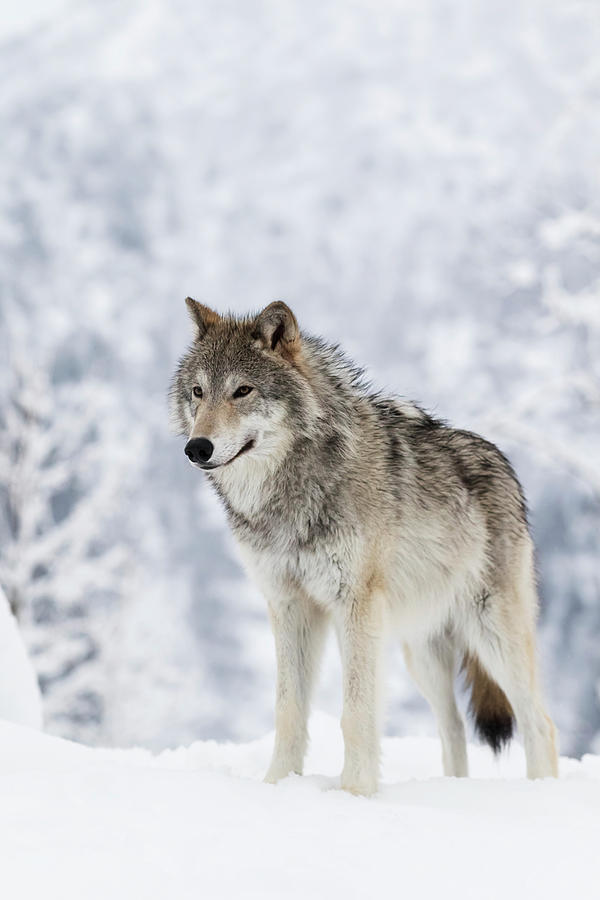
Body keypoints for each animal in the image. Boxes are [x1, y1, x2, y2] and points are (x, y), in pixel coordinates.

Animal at [171, 298, 560, 796]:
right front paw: (278, 785)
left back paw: (539, 791)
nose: (196, 447)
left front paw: (355, 793)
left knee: (539, 722)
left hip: (492, 633)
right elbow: (288, 709)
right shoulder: (289, 606)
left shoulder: (354, 605)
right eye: (198, 392)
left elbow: (356, 713)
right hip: (421, 653)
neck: (292, 492)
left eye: (243, 390)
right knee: (452, 727)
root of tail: (504, 465)